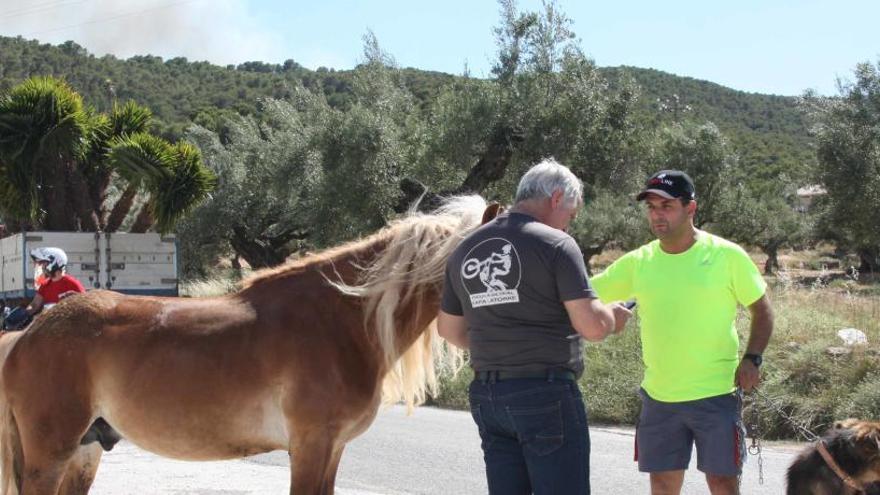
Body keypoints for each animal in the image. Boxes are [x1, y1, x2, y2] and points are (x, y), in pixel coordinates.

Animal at [0, 198, 498, 495]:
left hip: (85, 452)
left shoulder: (333, 449)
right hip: (51, 453)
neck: (341, 319)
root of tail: (30, 333)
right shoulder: (311, 446)